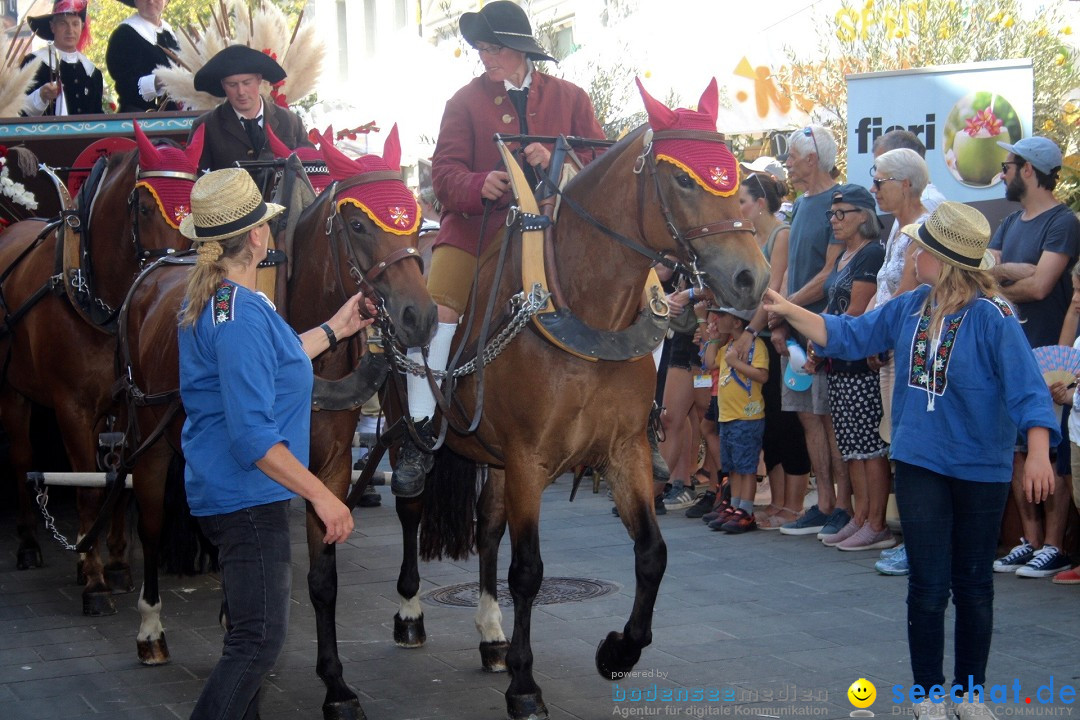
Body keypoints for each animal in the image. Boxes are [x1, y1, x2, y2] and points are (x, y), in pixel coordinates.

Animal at [0, 122, 203, 613]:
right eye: (145, 206)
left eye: (194, 205)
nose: (176, 271)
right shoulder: (72, 408)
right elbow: (89, 486)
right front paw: (93, 579)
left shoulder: (129, 405)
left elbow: (120, 476)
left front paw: (116, 563)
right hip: (13, 392)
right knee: (21, 457)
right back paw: (30, 543)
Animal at [388, 80, 768, 720]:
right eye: (683, 180)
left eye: (736, 173)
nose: (754, 278)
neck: (587, 312)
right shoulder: (528, 460)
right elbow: (528, 572)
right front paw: (525, 686)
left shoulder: (624, 451)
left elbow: (652, 552)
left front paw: (618, 648)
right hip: (415, 433)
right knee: (412, 506)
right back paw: (412, 612)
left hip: (495, 461)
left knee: (487, 529)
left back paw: (491, 635)